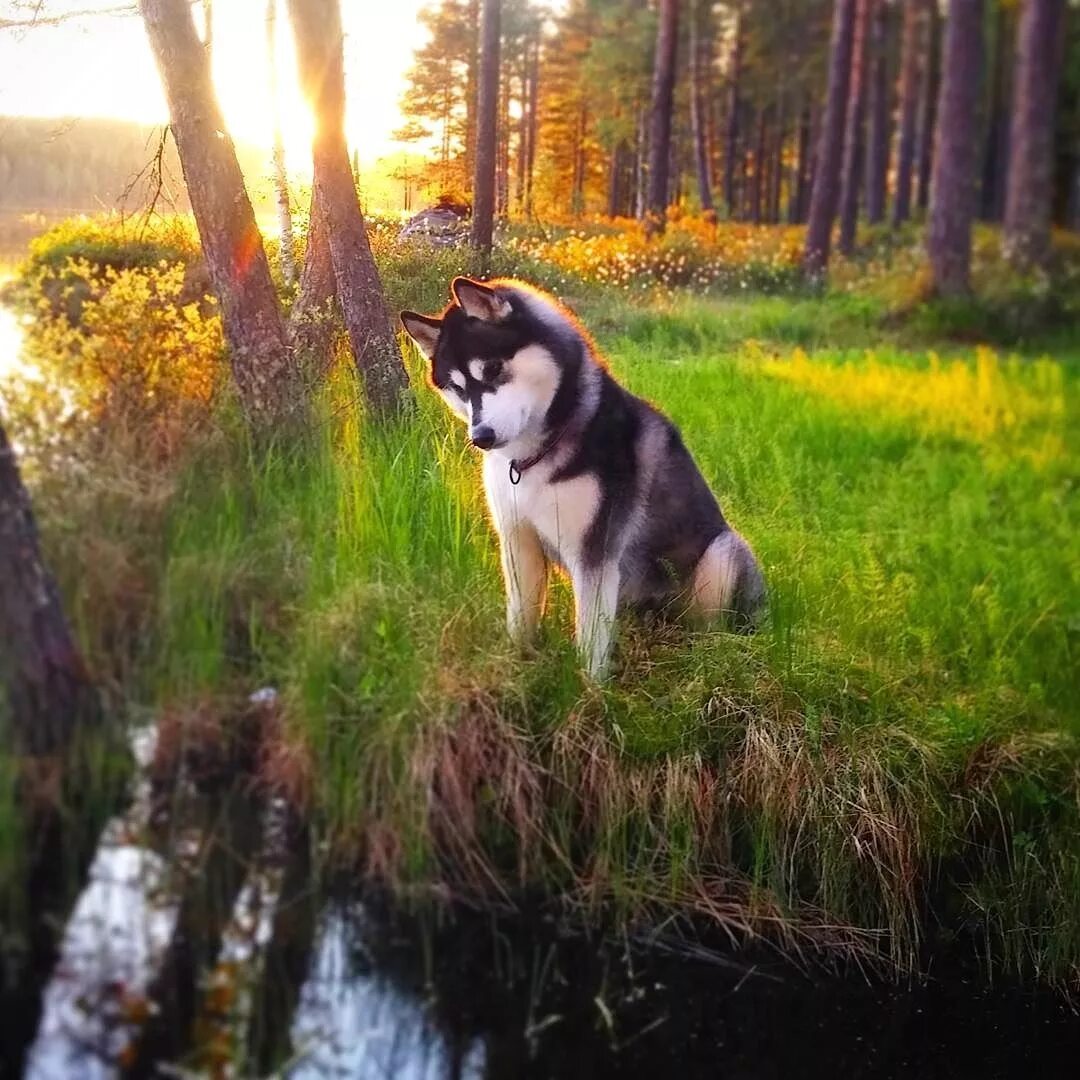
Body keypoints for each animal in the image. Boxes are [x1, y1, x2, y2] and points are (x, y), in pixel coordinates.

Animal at [401, 276, 764, 673]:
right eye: (457, 388)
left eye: (494, 369)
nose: (481, 437)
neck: (534, 458)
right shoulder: (517, 540)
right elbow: (520, 620)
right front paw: (517, 671)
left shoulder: (595, 553)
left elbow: (590, 642)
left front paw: (590, 688)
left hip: (722, 552)